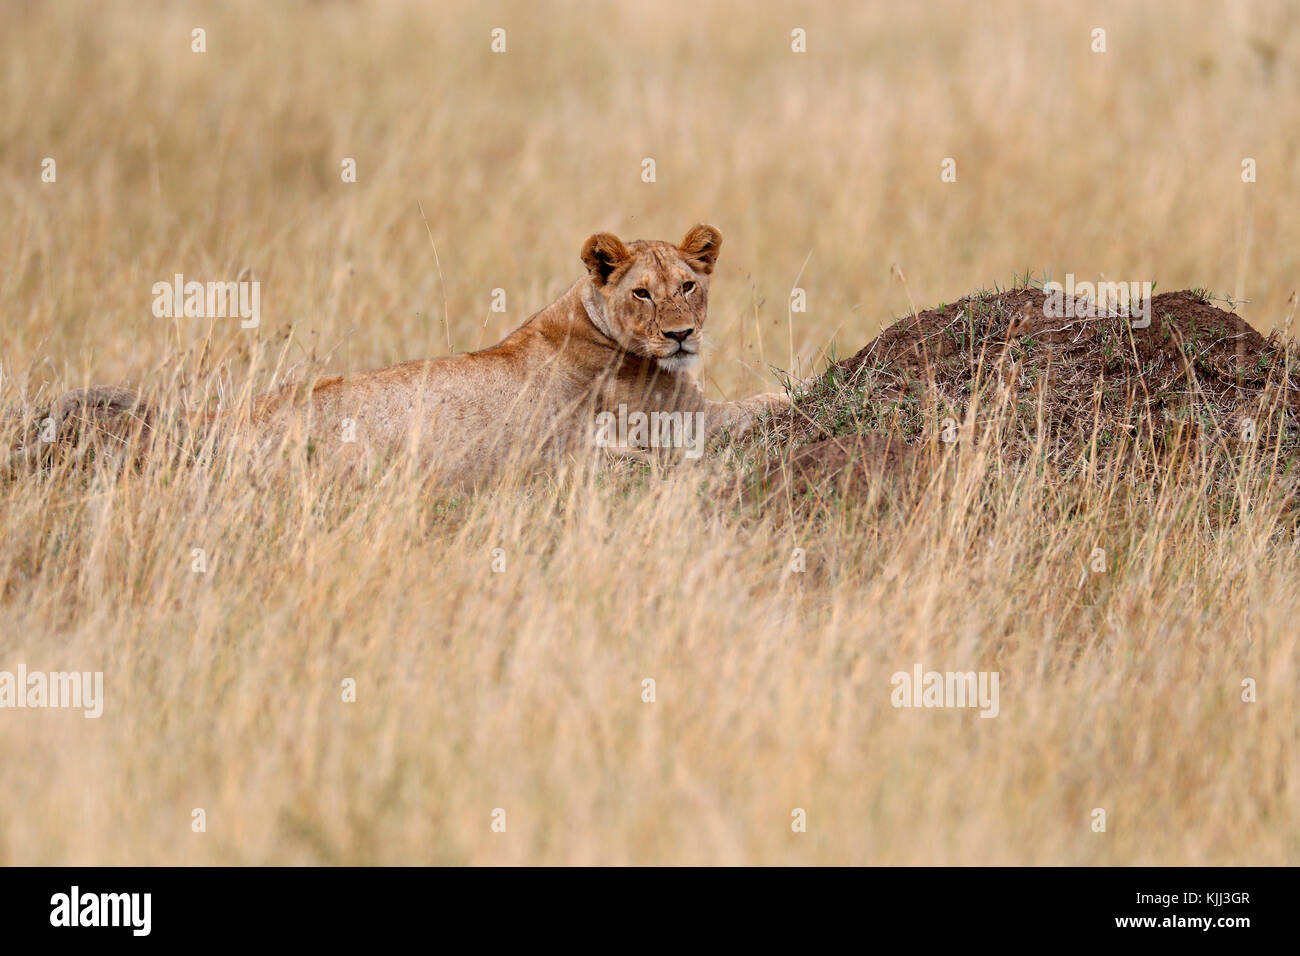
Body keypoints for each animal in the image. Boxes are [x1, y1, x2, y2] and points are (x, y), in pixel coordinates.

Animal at [23, 224, 791, 485]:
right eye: (641, 293)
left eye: (689, 286)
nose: (680, 335)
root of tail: (226, 420)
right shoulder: (677, 420)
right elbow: (762, 403)